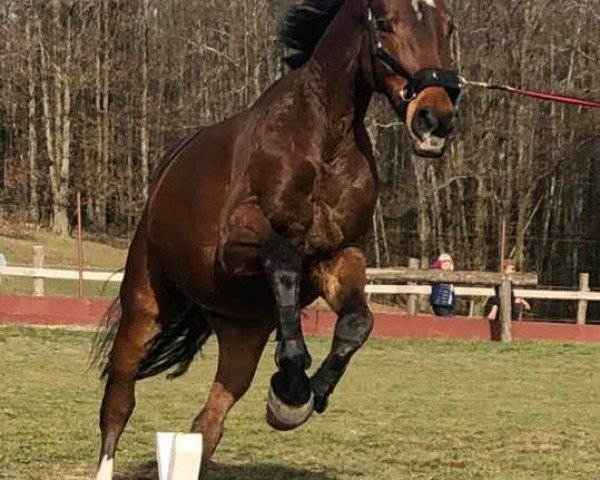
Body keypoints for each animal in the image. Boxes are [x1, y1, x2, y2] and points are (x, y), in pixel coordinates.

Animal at [94, 0, 460, 476]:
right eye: (384, 23)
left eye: (448, 26)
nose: (435, 119)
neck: (324, 141)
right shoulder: (237, 242)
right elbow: (284, 261)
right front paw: (290, 379)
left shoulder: (339, 256)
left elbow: (357, 322)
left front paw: (303, 395)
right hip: (146, 306)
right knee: (118, 403)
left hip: (242, 333)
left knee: (207, 426)